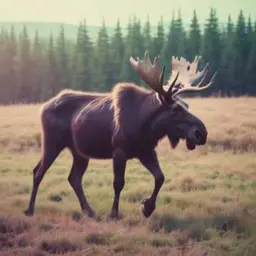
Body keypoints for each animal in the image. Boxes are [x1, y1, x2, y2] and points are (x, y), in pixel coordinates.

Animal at [24, 50, 216, 220]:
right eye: (175, 109)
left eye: (187, 105)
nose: (201, 133)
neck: (146, 126)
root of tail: (43, 107)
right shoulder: (119, 151)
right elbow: (119, 183)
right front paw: (114, 214)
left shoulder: (146, 151)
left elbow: (160, 177)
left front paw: (147, 207)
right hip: (52, 143)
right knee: (38, 172)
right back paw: (30, 210)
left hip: (79, 152)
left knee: (74, 178)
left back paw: (89, 211)